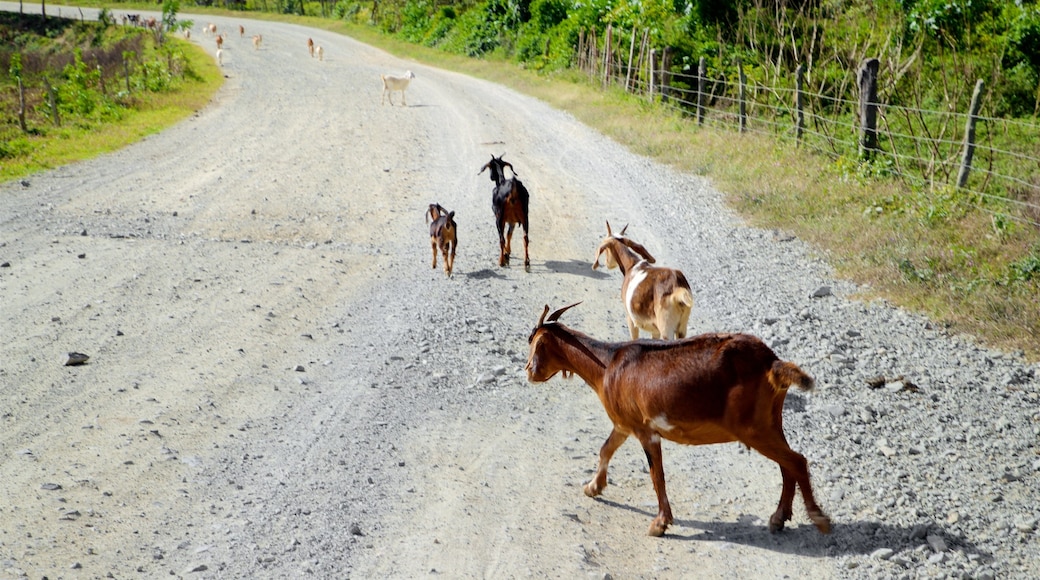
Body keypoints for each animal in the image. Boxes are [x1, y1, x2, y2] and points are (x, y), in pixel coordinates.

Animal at [524, 301, 832, 540]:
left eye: (535, 344)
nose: (528, 371)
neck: (607, 365)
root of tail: (771, 363)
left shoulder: (645, 430)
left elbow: (656, 475)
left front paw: (660, 524)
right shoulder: (624, 424)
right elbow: (606, 449)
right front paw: (593, 487)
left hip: (754, 429)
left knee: (796, 461)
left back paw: (818, 518)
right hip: (770, 423)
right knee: (787, 465)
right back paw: (778, 518)